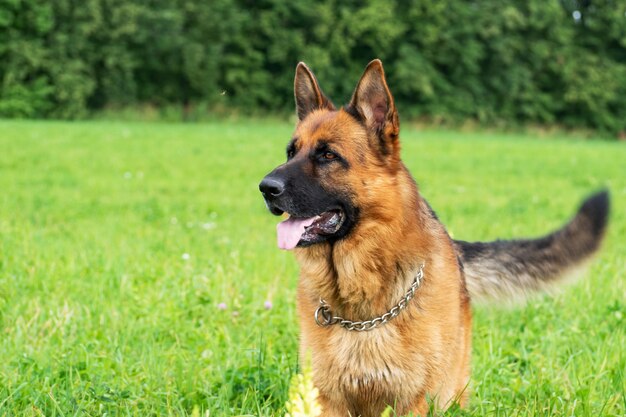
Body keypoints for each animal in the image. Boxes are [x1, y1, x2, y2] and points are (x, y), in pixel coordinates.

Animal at [256, 59, 608, 416]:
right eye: (290, 153)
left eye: (328, 155)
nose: (266, 188)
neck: (362, 312)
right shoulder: (327, 401)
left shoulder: (412, 402)